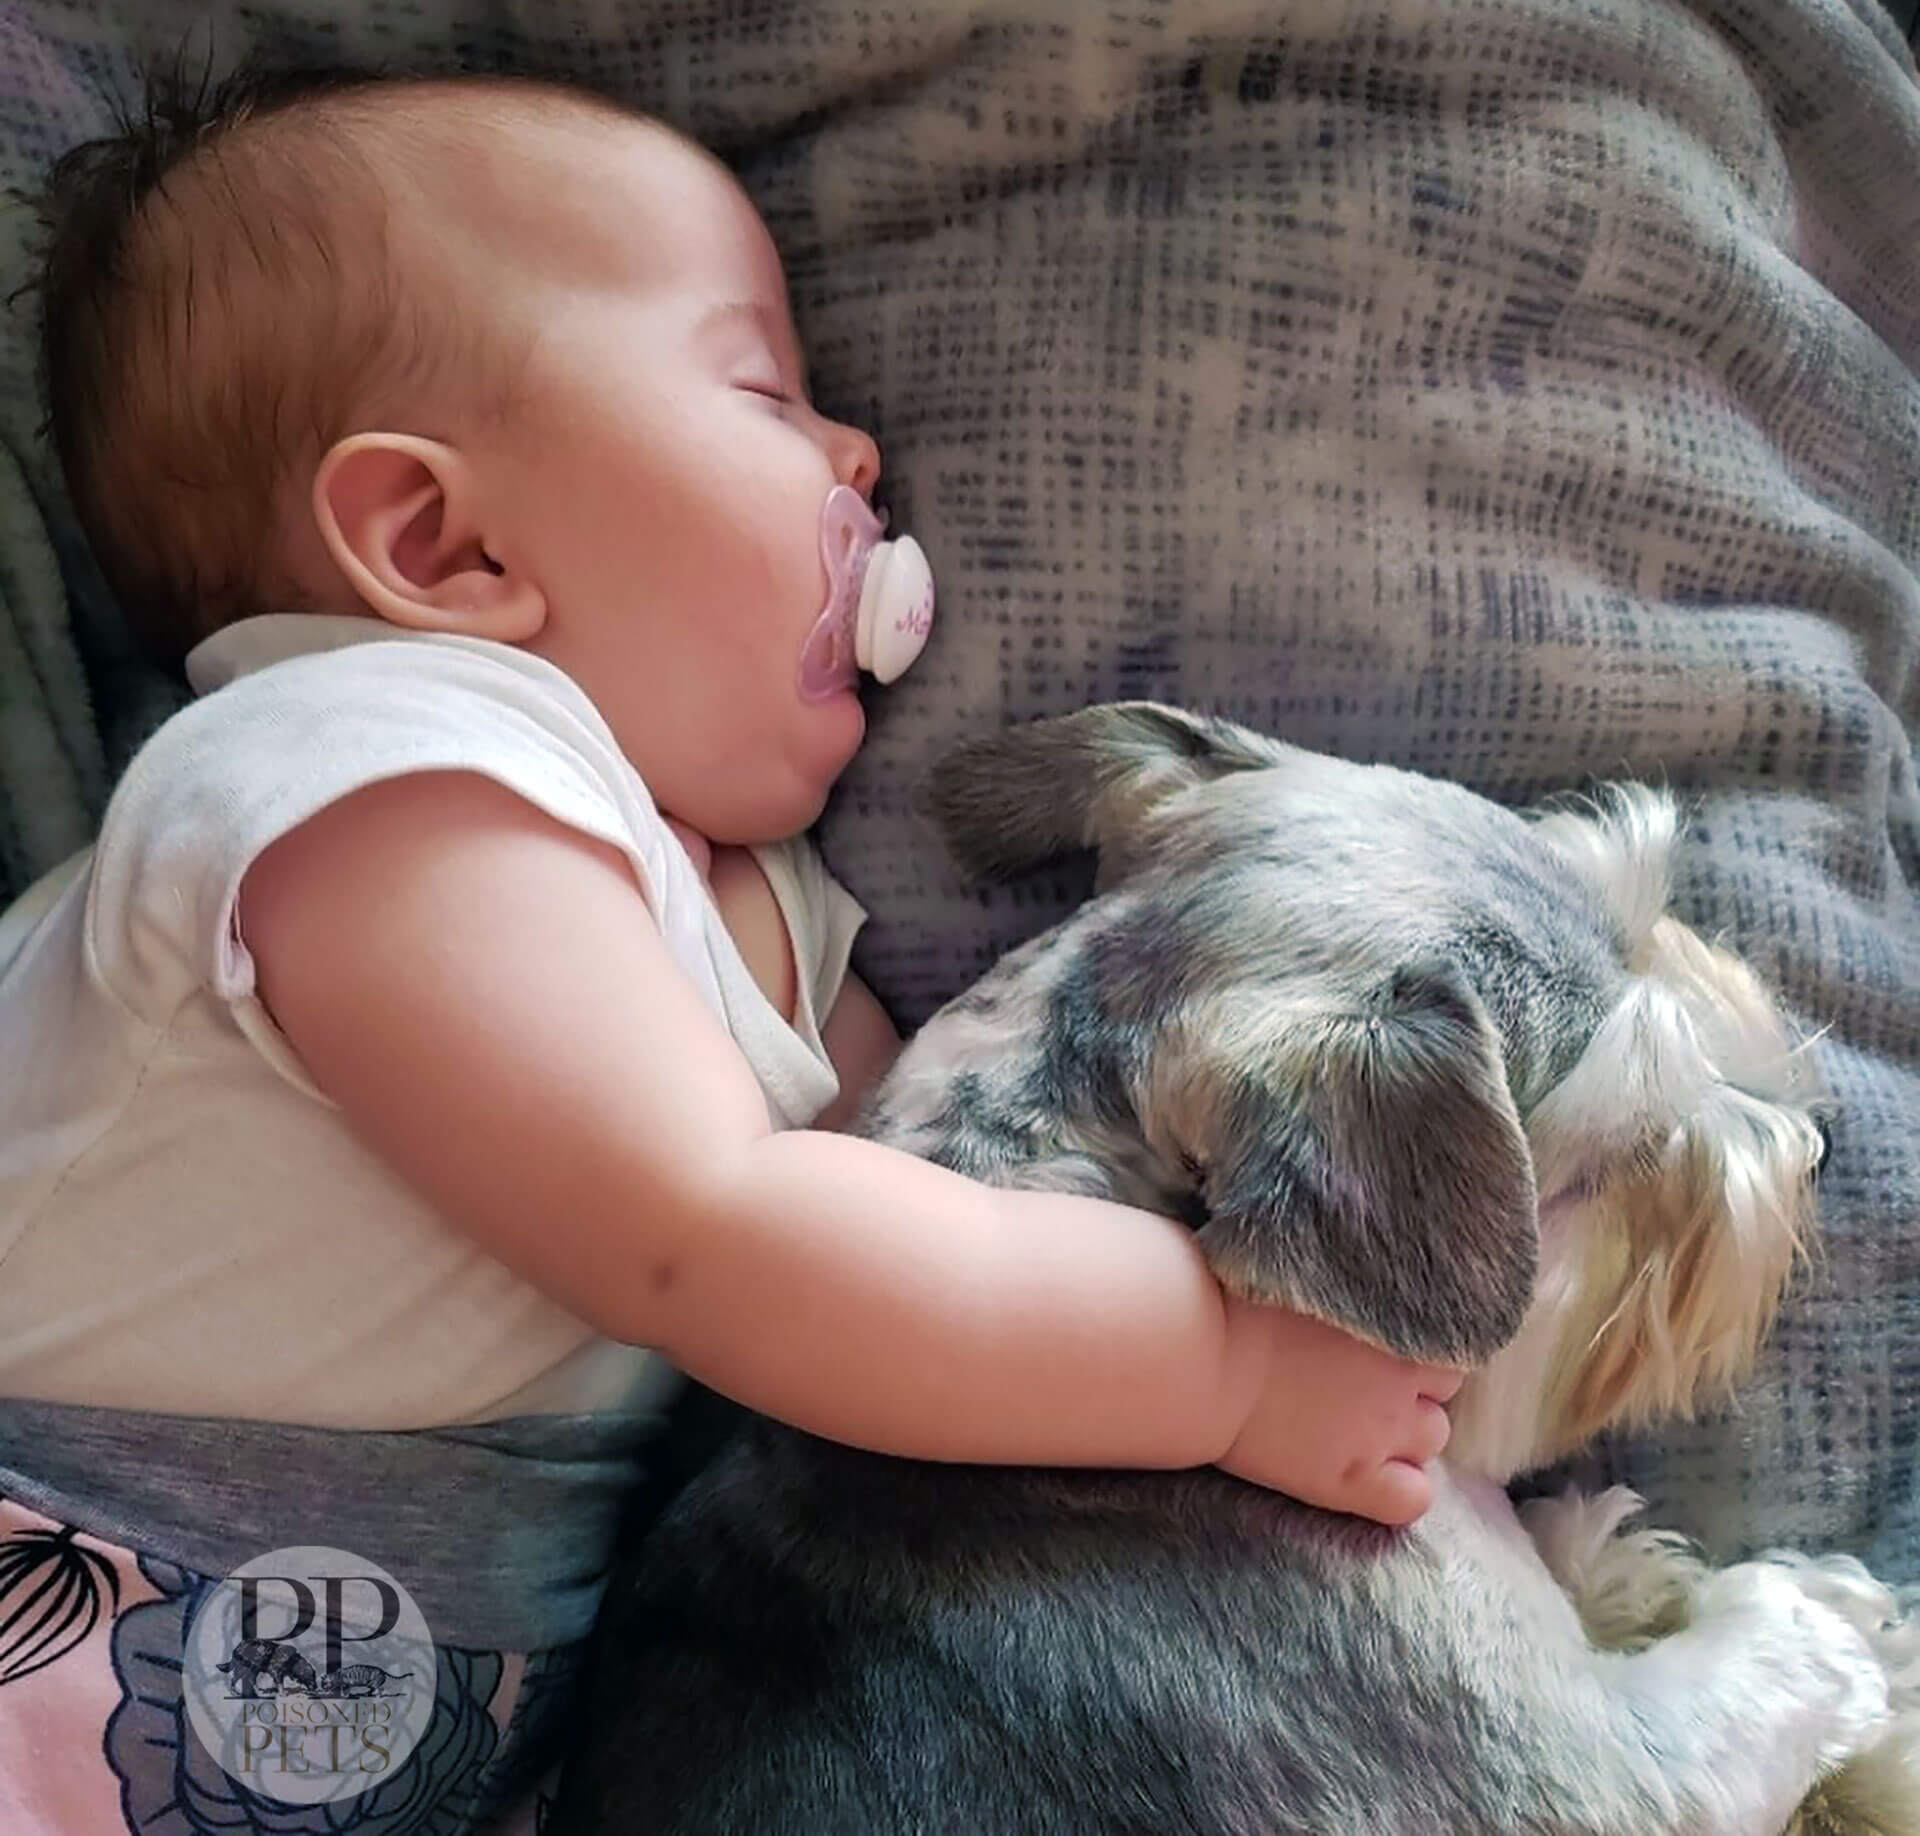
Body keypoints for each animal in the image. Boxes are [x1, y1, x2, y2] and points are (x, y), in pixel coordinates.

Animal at [556, 702, 1920, 1836]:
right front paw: (1830, 1622)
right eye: (1633, 1157)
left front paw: (1616, 1564)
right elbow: (1749, 1685)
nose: (1824, 1137)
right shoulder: (1604, 1778)